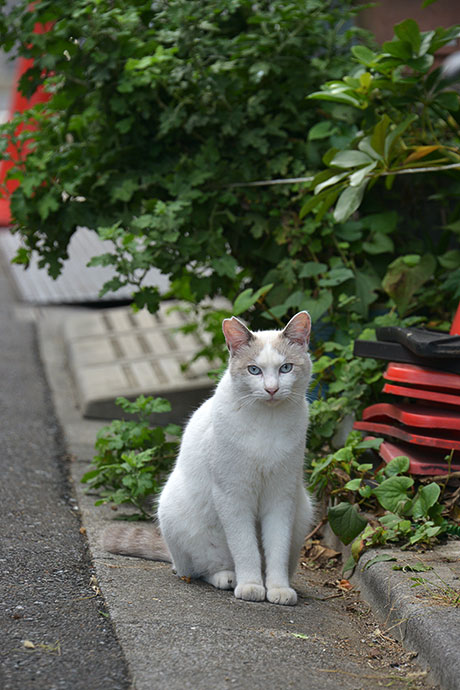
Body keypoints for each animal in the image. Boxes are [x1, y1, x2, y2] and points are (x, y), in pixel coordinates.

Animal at [103, 310, 314, 604]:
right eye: (254, 370)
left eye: (286, 368)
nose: (272, 389)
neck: (267, 422)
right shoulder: (233, 495)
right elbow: (245, 547)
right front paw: (251, 586)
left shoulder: (281, 496)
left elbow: (277, 549)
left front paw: (278, 589)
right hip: (180, 518)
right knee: (196, 571)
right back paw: (229, 577)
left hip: (303, 511)